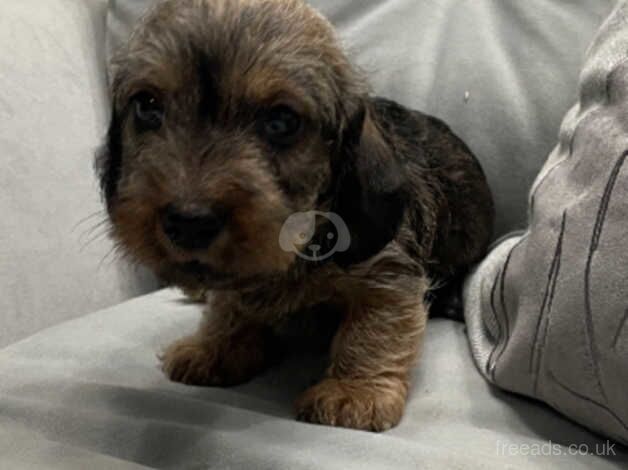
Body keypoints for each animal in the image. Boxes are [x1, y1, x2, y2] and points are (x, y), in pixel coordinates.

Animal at [95, 0, 494, 432]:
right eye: (147, 106)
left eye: (282, 121)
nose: (188, 221)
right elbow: (230, 305)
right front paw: (216, 345)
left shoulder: (389, 274)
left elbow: (374, 326)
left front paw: (354, 390)